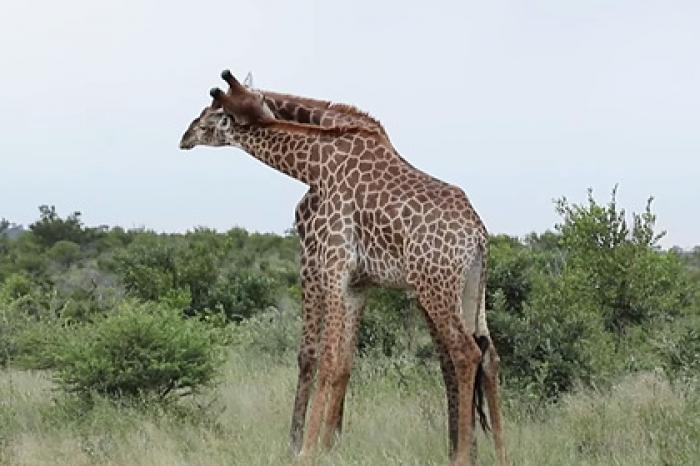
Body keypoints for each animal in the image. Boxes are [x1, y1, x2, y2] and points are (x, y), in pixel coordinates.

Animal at [179, 73, 508, 466]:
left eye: (208, 115)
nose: (184, 136)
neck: (315, 163)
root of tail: (478, 236)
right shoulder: (355, 282)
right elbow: (342, 363)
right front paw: (326, 446)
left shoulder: (329, 264)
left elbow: (323, 358)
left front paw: (304, 449)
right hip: (472, 288)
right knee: (488, 353)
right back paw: (501, 452)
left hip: (434, 286)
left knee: (463, 352)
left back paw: (461, 456)